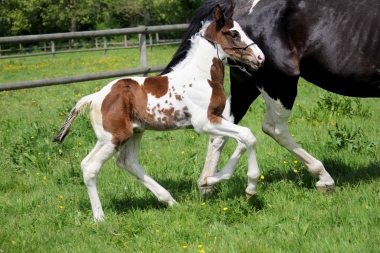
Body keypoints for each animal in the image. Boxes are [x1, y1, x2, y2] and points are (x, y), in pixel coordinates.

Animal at [54, 4, 264, 221]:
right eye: (234, 33)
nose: (260, 58)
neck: (201, 76)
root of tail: (95, 96)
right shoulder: (204, 123)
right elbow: (248, 135)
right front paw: (250, 187)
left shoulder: (219, 118)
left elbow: (242, 140)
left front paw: (210, 180)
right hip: (114, 137)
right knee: (90, 166)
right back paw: (100, 218)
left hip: (133, 132)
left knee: (127, 161)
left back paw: (170, 200)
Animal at [162, 0, 380, 196]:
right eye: (234, 34)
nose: (259, 56)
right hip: (280, 82)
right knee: (274, 128)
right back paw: (323, 178)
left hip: (248, 85)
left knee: (223, 130)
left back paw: (208, 182)